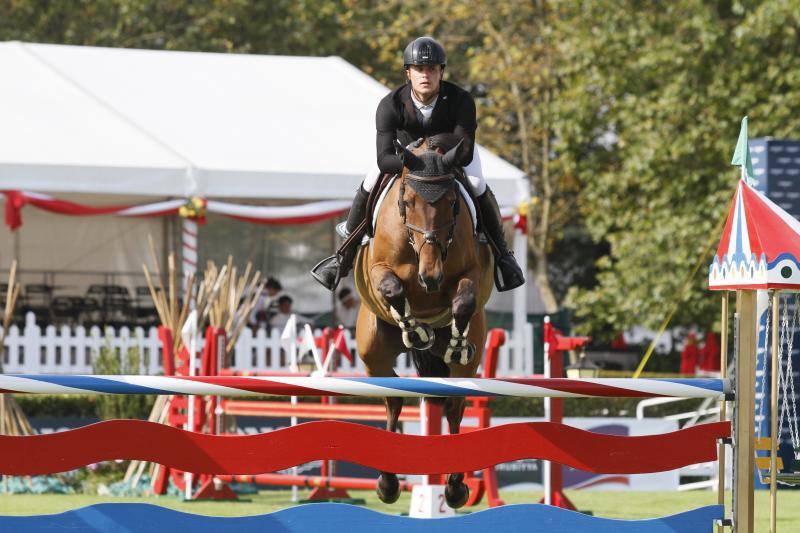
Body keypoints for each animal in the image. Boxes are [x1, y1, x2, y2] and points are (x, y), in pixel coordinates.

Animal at [352, 133, 494, 508]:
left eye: (452, 203)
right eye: (407, 201)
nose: (430, 275)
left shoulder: (472, 273)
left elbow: (464, 298)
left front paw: (456, 342)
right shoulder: (379, 269)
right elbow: (391, 287)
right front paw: (414, 330)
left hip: (467, 362)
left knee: (454, 404)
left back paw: (455, 487)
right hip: (373, 353)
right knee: (393, 398)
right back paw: (387, 483)